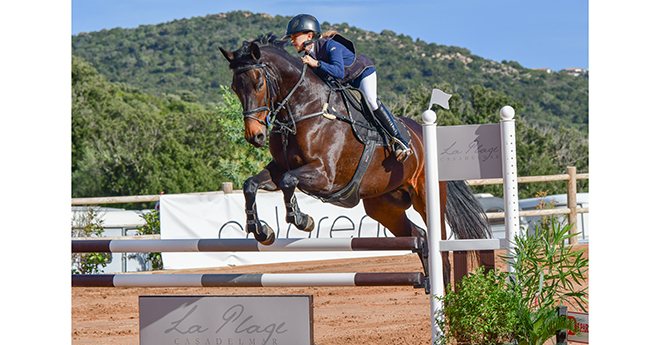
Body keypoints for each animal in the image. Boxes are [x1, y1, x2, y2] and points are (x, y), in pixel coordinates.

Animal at [218, 31, 490, 247]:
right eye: (234, 88)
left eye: (258, 83)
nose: (255, 136)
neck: (303, 108)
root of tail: (423, 135)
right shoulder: (281, 167)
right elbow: (251, 185)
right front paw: (260, 230)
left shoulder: (325, 175)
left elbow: (288, 181)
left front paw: (303, 220)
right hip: (384, 205)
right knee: (419, 235)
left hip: (426, 196)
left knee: (439, 237)